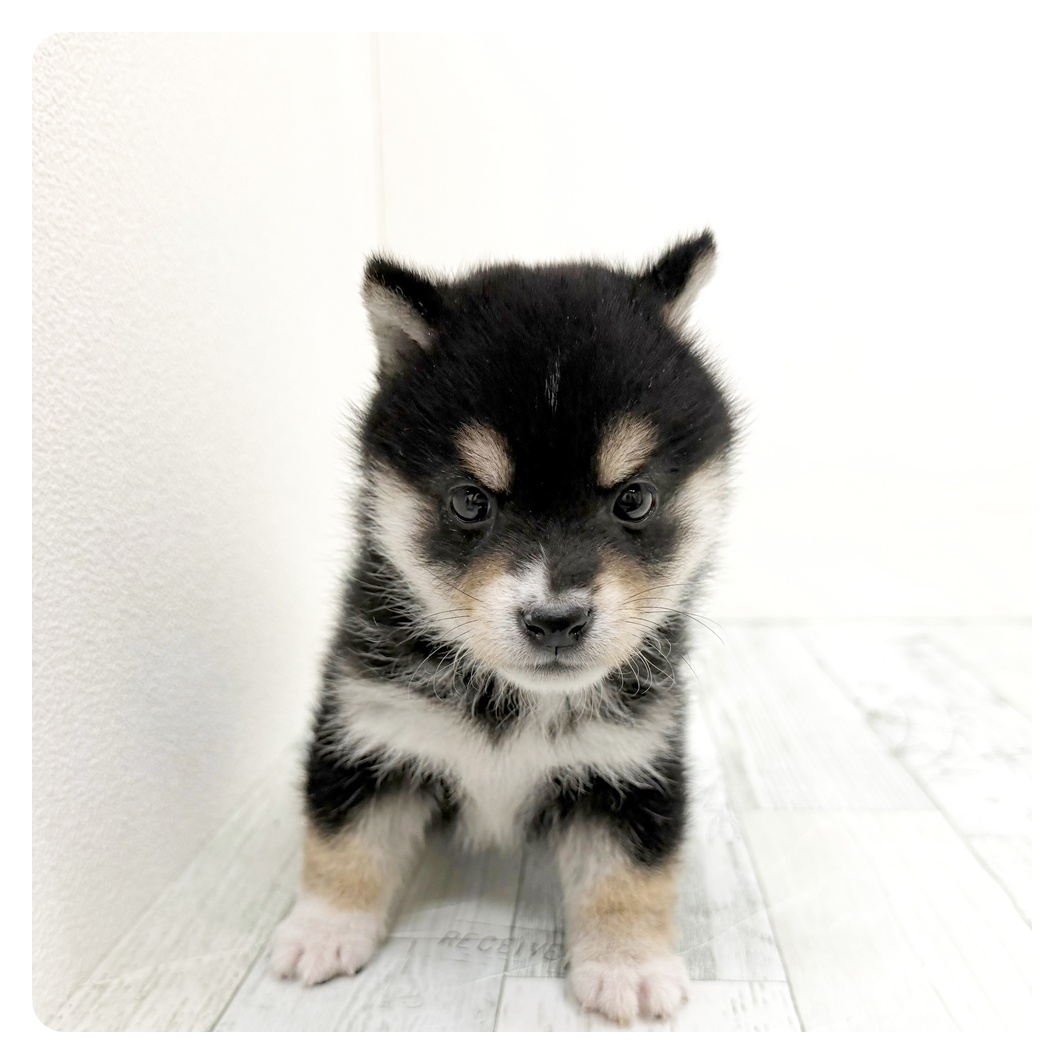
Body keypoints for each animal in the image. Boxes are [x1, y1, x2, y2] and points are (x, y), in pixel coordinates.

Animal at [271, 232, 736, 1024]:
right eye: (469, 501)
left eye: (635, 499)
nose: (556, 620)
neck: (508, 702)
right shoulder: (369, 728)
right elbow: (344, 841)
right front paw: (324, 927)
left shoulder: (630, 758)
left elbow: (629, 873)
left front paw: (629, 965)